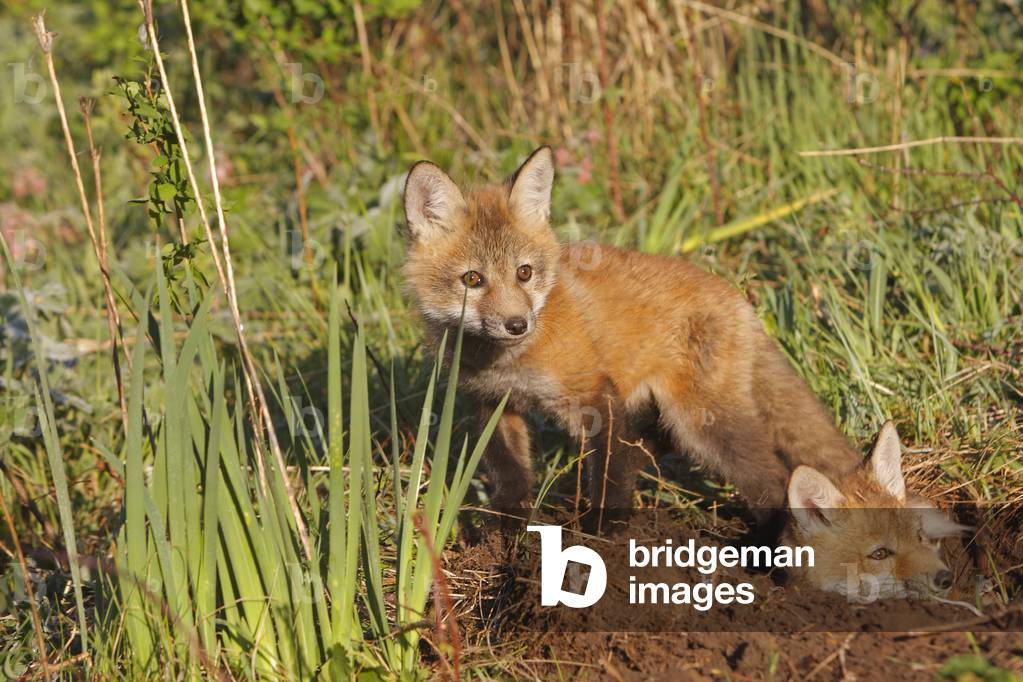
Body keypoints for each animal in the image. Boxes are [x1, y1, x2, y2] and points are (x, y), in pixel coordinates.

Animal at [401, 146, 862, 516]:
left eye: (524, 272)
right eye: (473, 279)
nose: (517, 324)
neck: (509, 362)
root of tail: (737, 297)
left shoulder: (595, 396)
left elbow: (610, 481)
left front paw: (603, 536)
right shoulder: (493, 403)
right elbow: (511, 476)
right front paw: (505, 528)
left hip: (702, 423)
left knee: (774, 480)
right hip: (667, 416)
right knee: (648, 448)